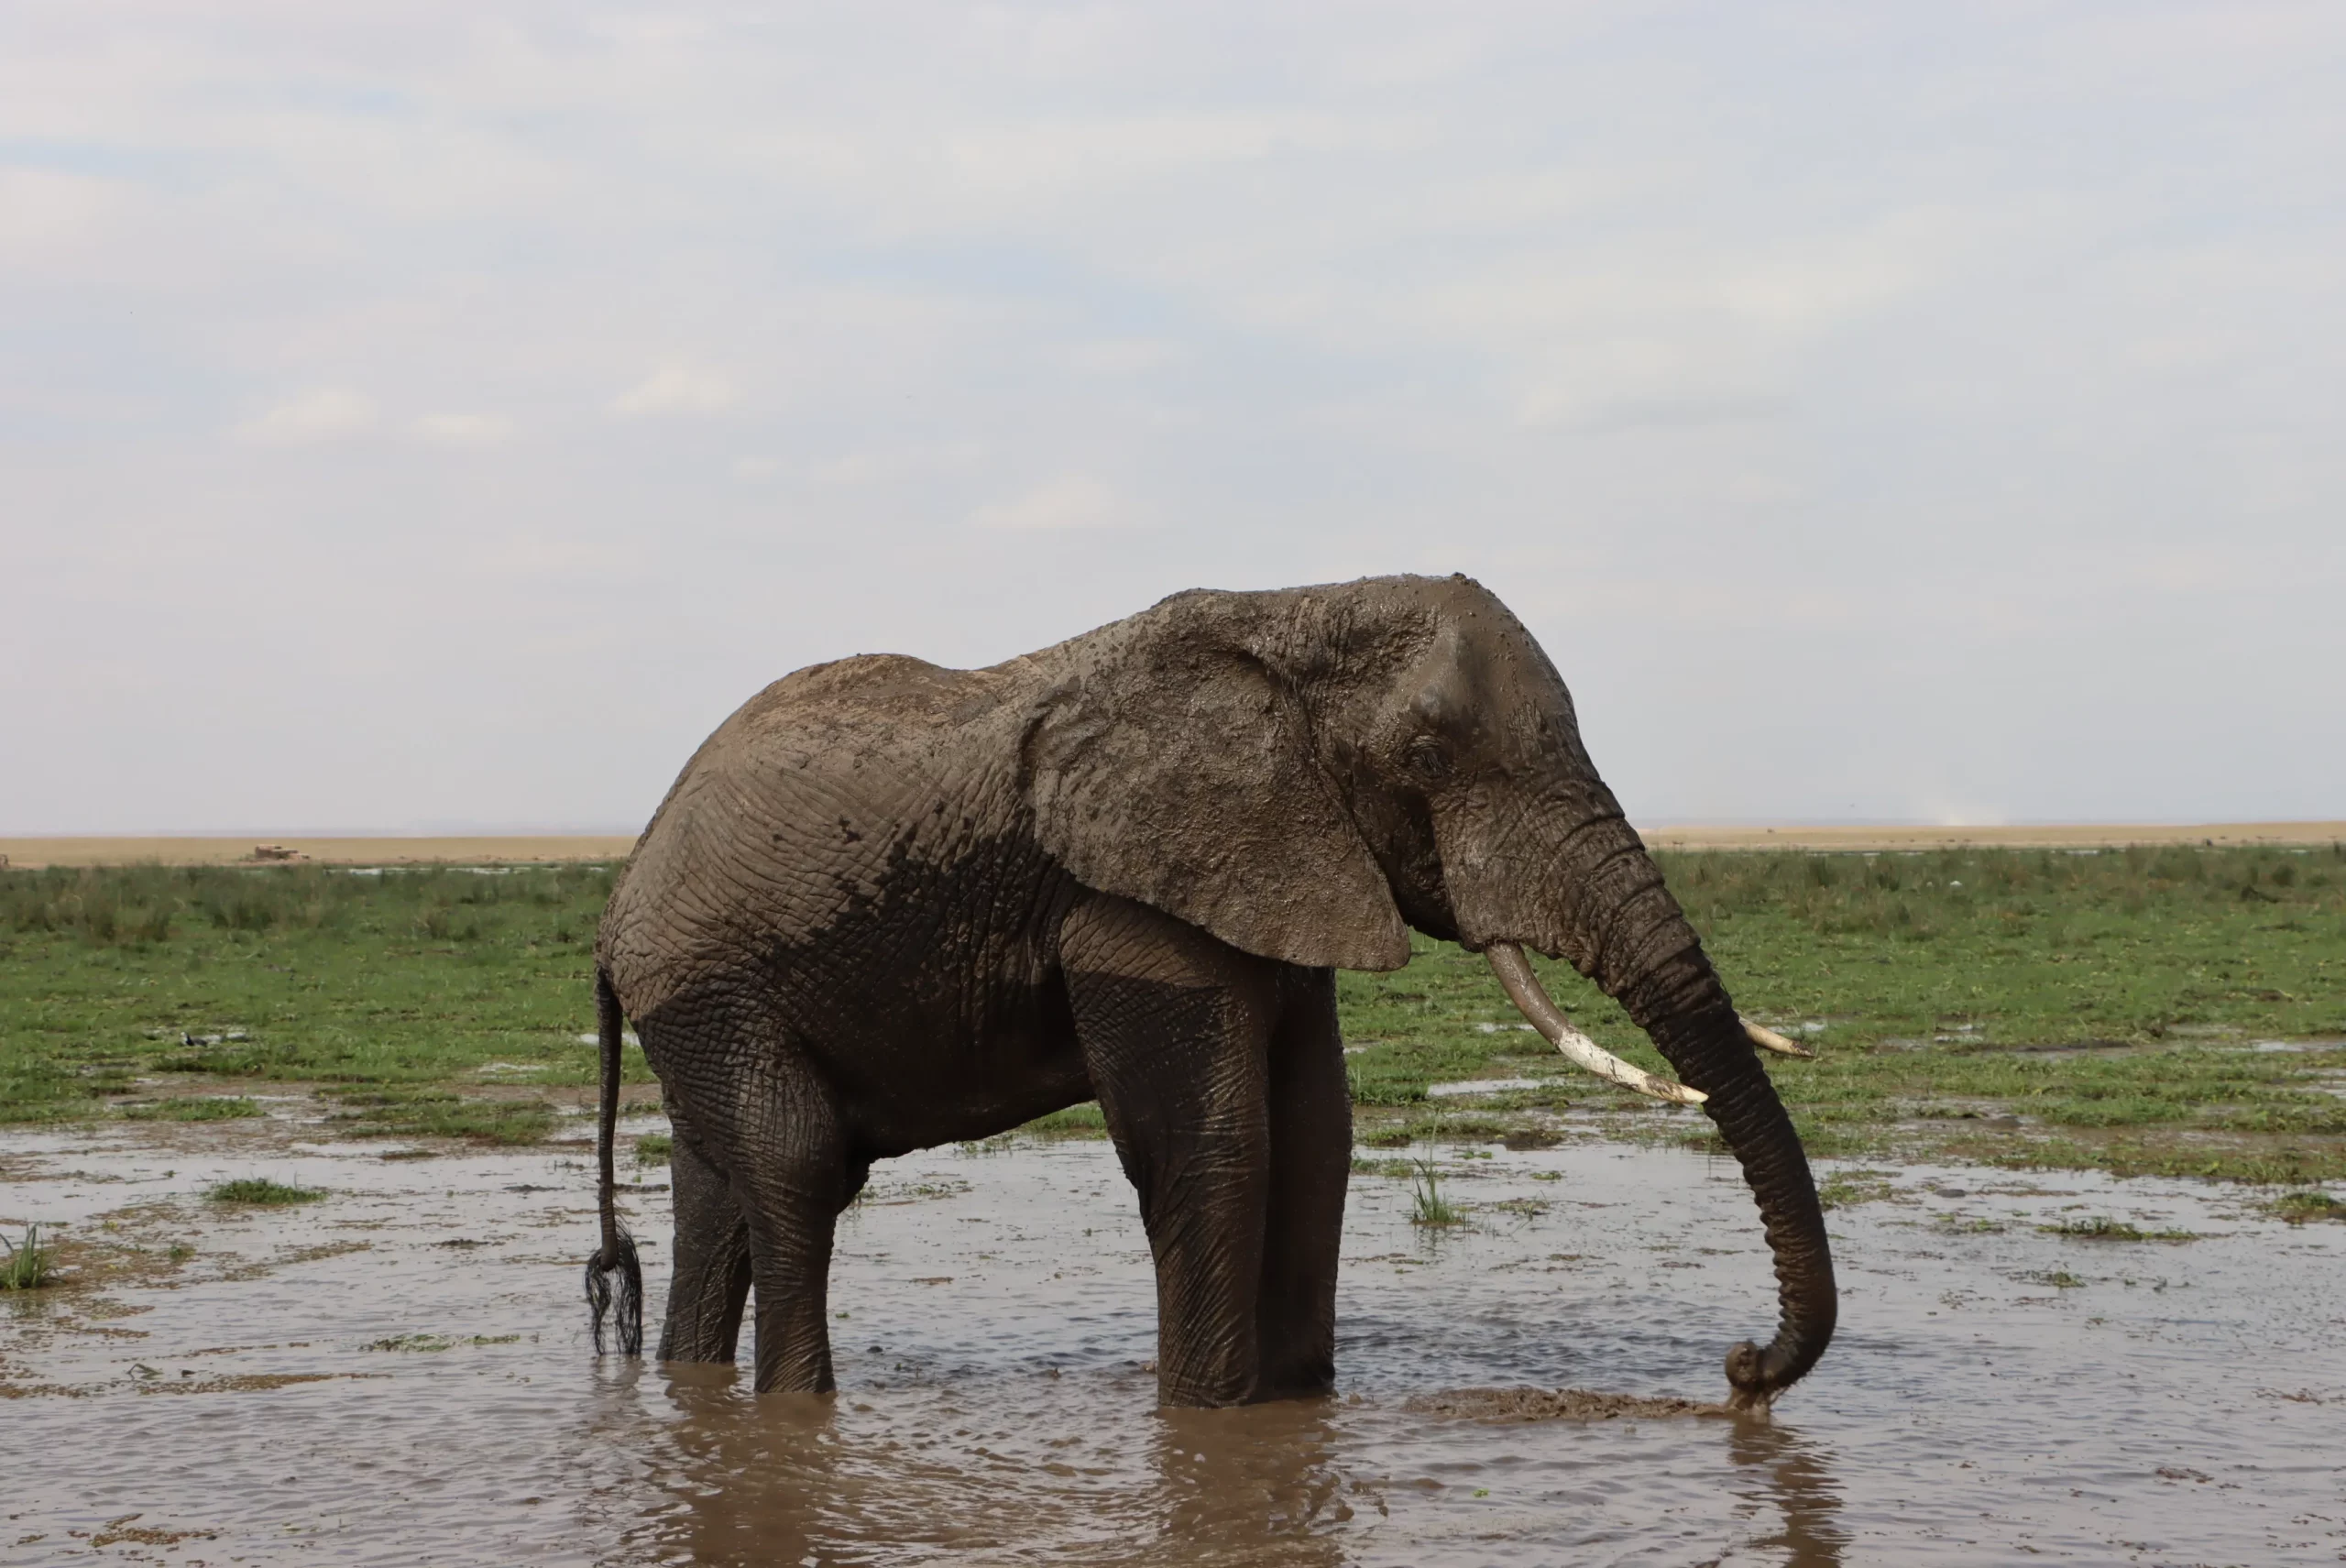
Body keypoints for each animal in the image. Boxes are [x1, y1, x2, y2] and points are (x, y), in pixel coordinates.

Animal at [581, 572, 1829, 1408]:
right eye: (1427, 763)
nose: (1739, 1368)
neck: (1292, 614)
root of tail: (618, 894)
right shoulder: (1133, 904)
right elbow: (1215, 1141)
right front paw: (1209, 1421)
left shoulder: (1285, 869)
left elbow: (1318, 1139)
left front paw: (1296, 1412)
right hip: (708, 982)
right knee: (796, 1166)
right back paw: (798, 1409)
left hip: (704, 1000)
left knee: (720, 1187)